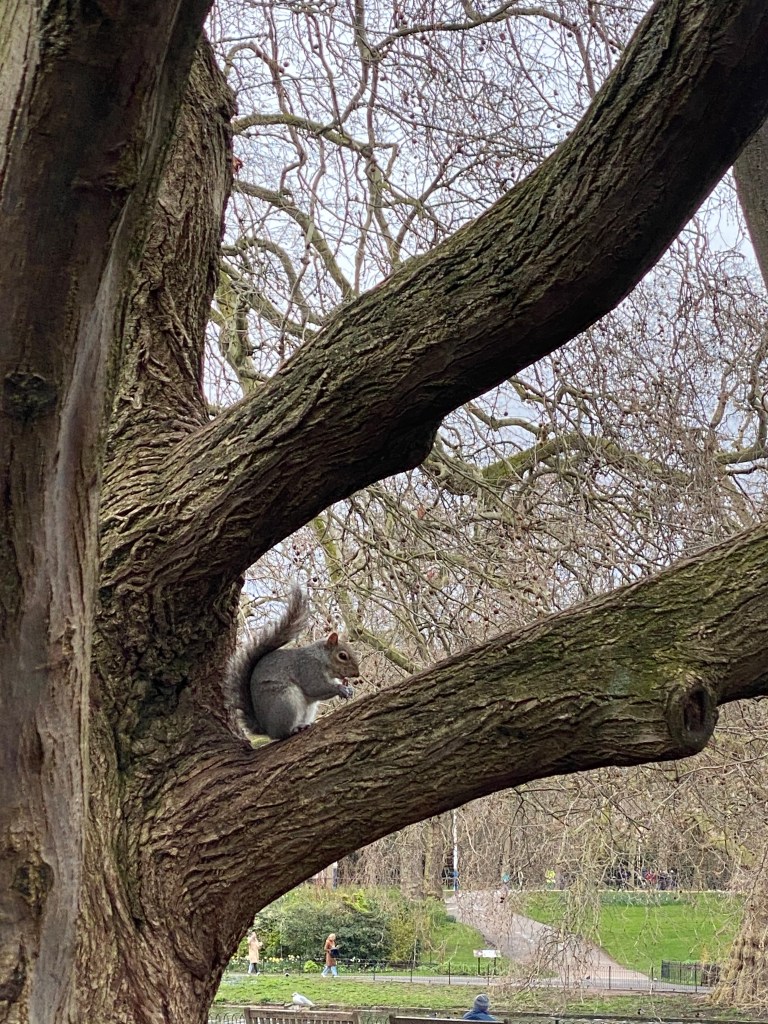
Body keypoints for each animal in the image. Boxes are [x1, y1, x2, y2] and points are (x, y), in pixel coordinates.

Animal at [224, 586, 360, 741]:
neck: (321, 658)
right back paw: (294, 729)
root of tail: (266, 728)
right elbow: (316, 688)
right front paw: (340, 689)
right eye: (342, 656)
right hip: (286, 700)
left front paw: (349, 689)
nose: (357, 674)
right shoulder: (308, 668)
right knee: (281, 734)